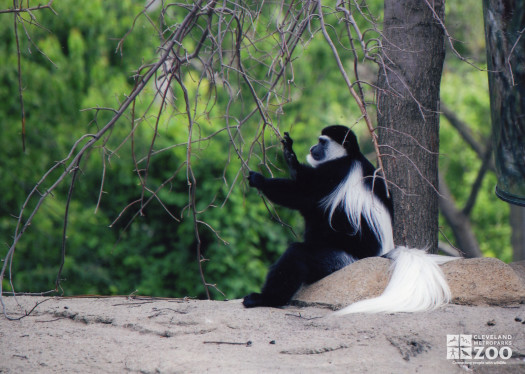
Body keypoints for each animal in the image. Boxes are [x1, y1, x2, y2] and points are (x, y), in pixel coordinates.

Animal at [244, 127, 456, 314]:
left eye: (322, 142)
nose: (312, 148)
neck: (349, 156)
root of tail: (381, 254)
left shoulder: (335, 172)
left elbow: (303, 194)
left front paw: (260, 180)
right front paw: (289, 155)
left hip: (341, 262)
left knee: (298, 254)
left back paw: (266, 299)